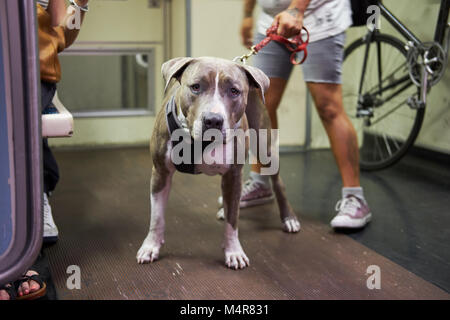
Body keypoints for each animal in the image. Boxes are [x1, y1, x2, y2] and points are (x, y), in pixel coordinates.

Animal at [137, 56, 298, 268]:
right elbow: (157, 217)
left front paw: (234, 251)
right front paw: (151, 246)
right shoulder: (160, 172)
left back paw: (289, 218)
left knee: (278, 183)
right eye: (196, 87)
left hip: (265, 148)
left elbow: (233, 221)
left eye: (234, 91)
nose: (213, 120)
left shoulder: (233, 175)